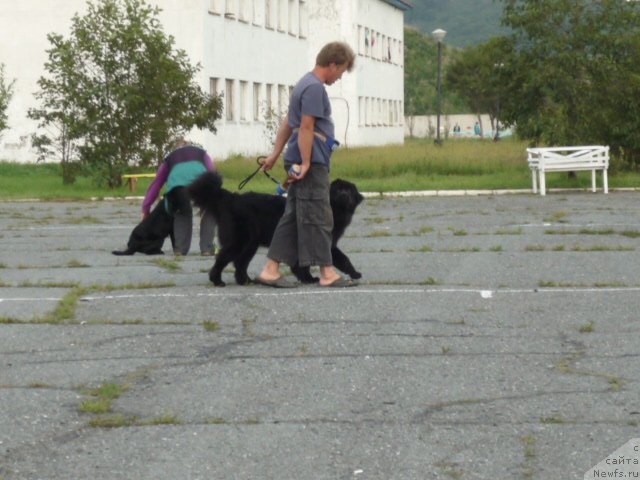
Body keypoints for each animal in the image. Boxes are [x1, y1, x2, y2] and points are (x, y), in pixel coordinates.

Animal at [188, 172, 362, 286]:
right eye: (338, 190)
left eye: (349, 191)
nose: (344, 195)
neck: (332, 209)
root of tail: (231, 198)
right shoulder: (321, 242)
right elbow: (341, 259)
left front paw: (307, 278)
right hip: (240, 241)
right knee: (223, 258)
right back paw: (217, 280)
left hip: (250, 244)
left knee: (240, 263)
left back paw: (245, 281)